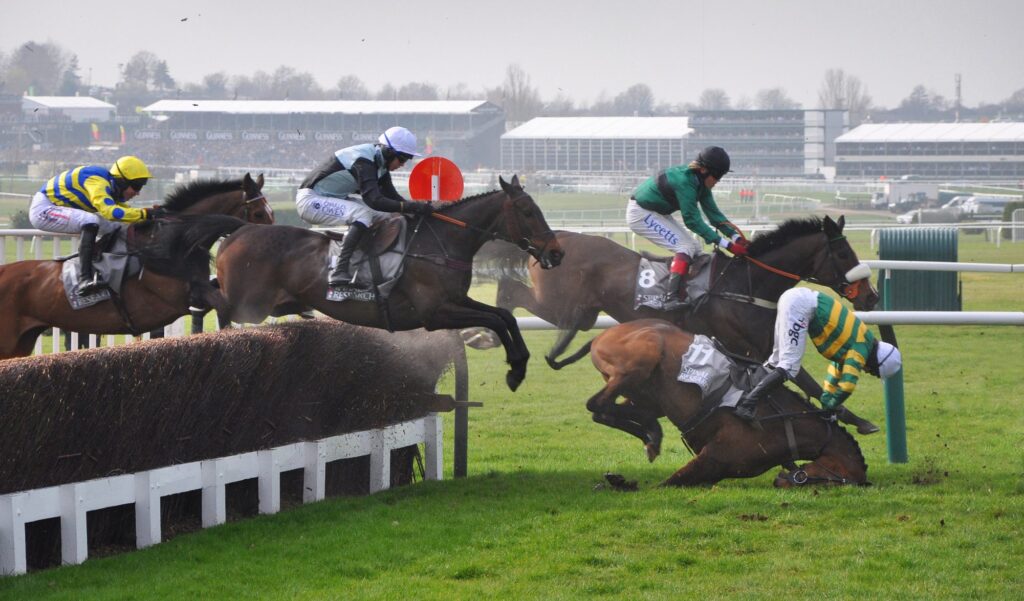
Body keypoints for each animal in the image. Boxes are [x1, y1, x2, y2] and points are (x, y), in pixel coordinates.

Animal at [215, 175, 565, 391]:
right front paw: (516, 367)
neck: (440, 243)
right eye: (527, 211)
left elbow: (503, 316)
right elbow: (495, 319)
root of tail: (238, 231)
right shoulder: (434, 313)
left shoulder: (455, 300)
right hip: (248, 305)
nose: (556, 252)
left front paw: (518, 366)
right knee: (220, 310)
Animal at [589, 319, 868, 489]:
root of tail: (603, 335)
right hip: (640, 362)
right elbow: (662, 485)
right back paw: (652, 433)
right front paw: (620, 482)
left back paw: (651, 435)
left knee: (607, 410)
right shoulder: (712, 458)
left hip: (645, 395)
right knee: (596, 404)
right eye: (831, 482)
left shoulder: (714, 468)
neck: (784, 425)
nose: (781, 481)